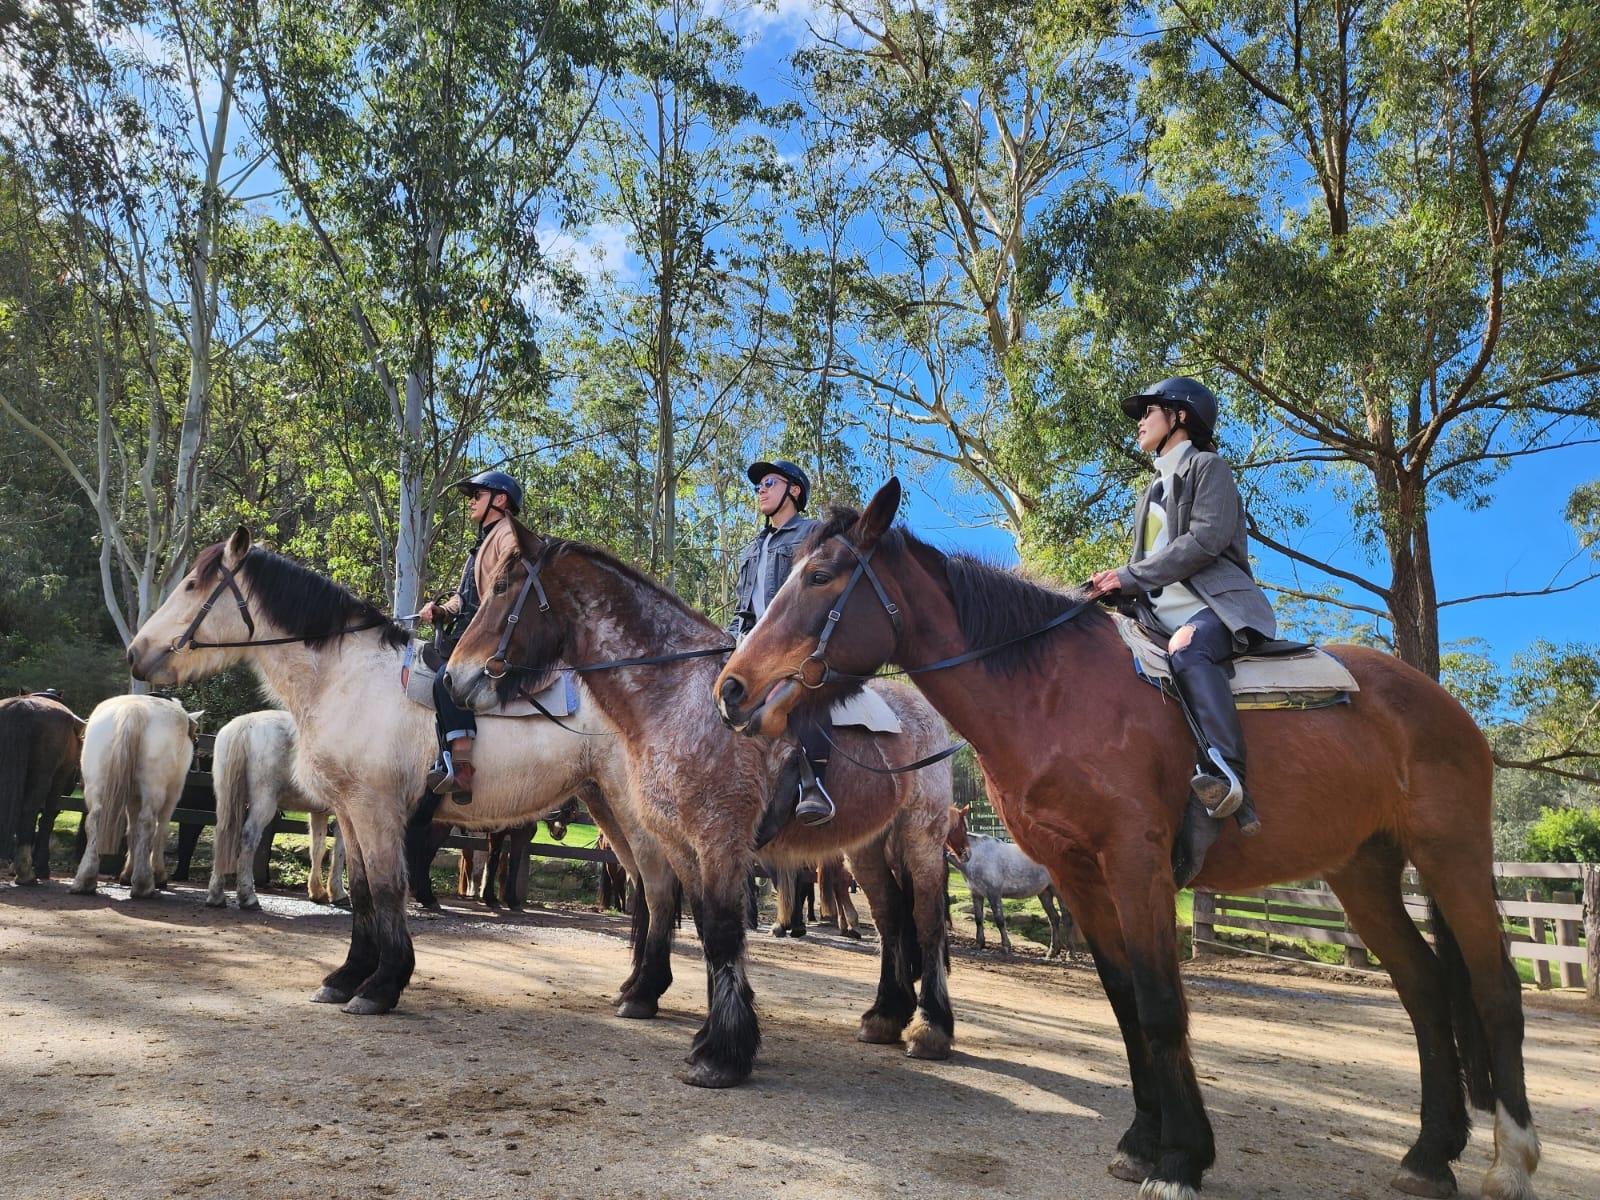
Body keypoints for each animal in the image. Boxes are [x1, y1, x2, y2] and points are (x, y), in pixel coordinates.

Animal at [0, 691, 84, 882]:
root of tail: (22, 706)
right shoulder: (58, 780)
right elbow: (47, 820)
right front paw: (41, 866)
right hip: (42, 776)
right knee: (29, 811)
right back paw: (25, 872)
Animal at [70, 695, 201, 898]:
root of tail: (134, 709)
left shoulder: (133, 798)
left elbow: (132, 830)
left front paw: (127, 873)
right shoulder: (173, 794)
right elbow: (161, 830)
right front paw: (159, 875)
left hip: (96, 783)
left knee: (94, 820)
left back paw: (85, 880)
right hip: (155, 788)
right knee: (148, 823)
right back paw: (143, 884)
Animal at [209, 710, 346, 909]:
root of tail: (244, 725)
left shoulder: (319, 813)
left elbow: (318, 849)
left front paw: (317, 892)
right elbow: (343, 852)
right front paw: (339, 892)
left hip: (226, 801)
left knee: (223, 834)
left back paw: (216, 896)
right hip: (264, 802)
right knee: (248, 837)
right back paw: (248, 896)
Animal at [441, 516, 958, 1086]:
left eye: (502, 587)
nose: (453, 678)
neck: (677, 696)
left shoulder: (718, 840)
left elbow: (722, 931)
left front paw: (721, 1054)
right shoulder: (682, 844)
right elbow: (706, 927)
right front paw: (712, 1031)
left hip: (920, 837)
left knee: (927, 918)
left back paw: (930, 1030)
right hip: (865, 846)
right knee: (890, 917)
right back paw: (885, 1016)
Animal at [714, 478, 1539, 1200]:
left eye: (821, 575)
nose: (732, 688)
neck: (1051, 693)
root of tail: (1436, 700)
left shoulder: (1137, 865)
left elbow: (1161, 1003)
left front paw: (1181, 1159)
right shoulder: (1079, 873)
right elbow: (1123, 1000)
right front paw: (1145, 1142)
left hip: (1453, 856)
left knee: (1494, 989)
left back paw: (1512, 1161)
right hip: (1362, 872)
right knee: (1425, 988)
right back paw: (1429, 1156)